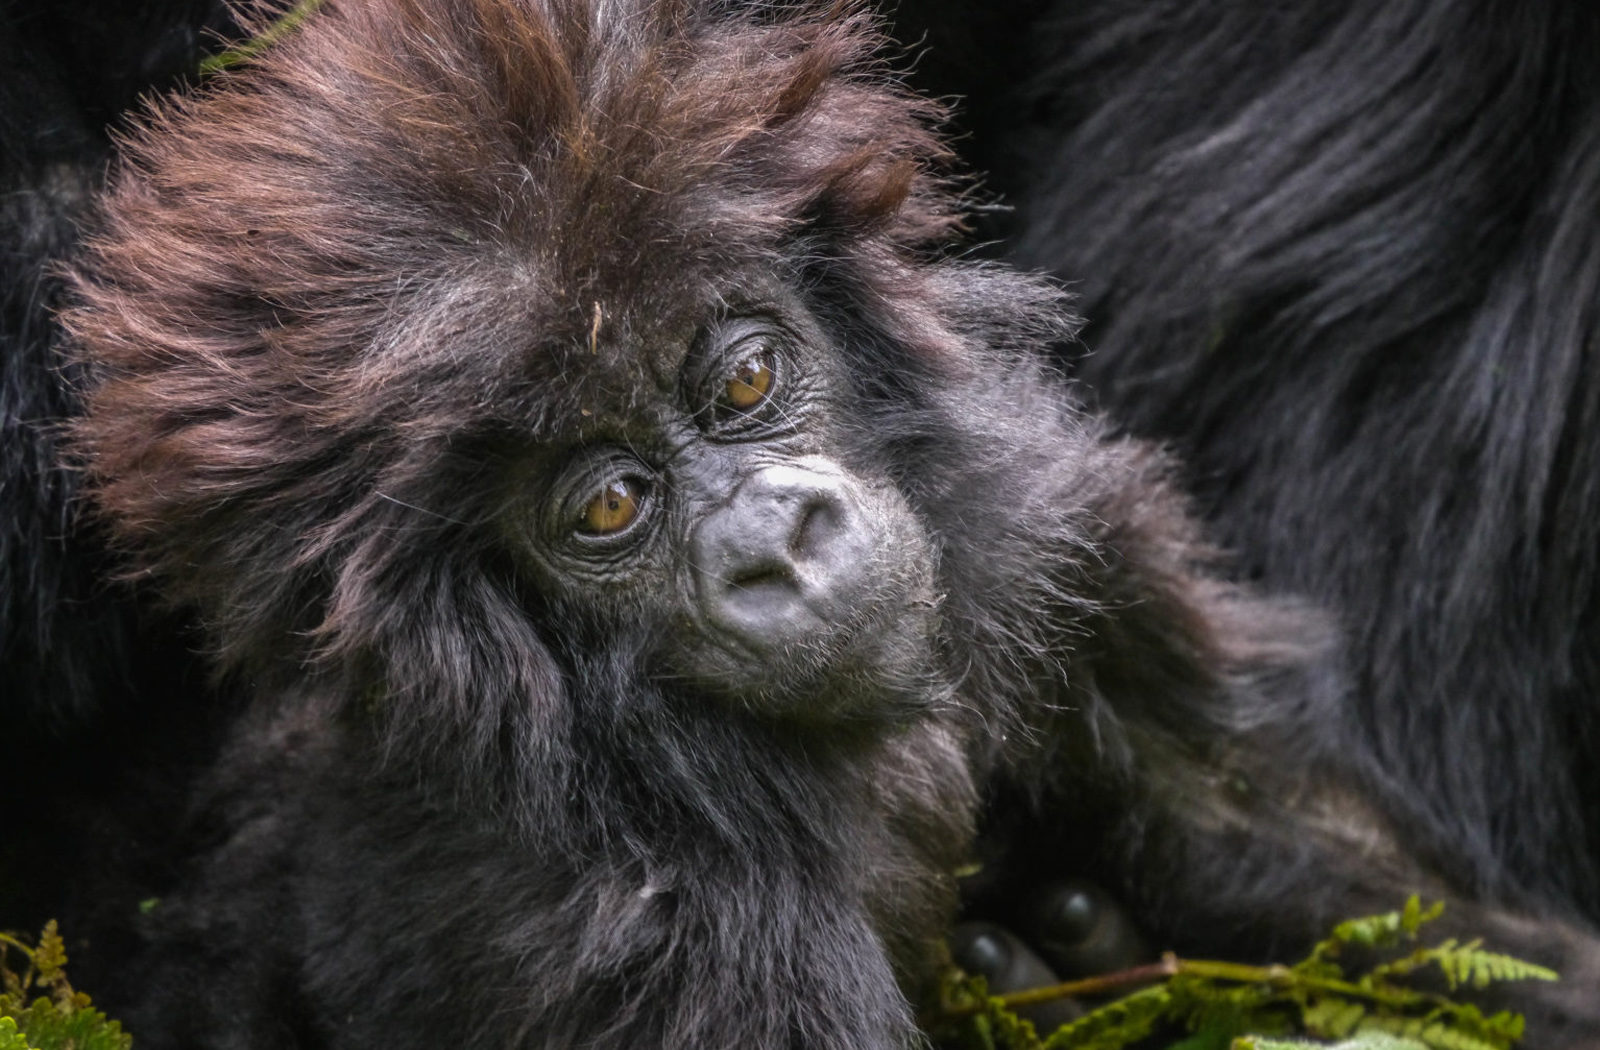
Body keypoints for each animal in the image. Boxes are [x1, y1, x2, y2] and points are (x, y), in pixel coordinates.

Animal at [59, 0, 1600, 1043]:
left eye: (743, 379)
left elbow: (1268, 833)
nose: (774, 546)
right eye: (608, 504)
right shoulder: (631, 914)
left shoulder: (1045, 543)